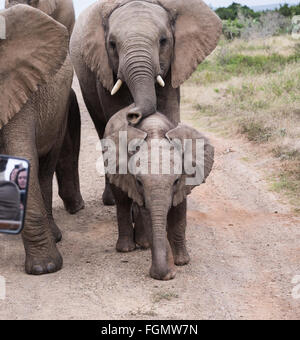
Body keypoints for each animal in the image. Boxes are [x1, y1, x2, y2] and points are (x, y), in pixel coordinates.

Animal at [69, 0, 220, 205]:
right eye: (112, 44)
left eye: (163, 41)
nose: (133, 114)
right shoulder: (104, 71)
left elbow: (169, 113)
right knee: (101, 129)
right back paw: (111, 200)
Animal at [104, 105, 214, 280]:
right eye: (139, 182)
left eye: (176, 181)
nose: (169, 273)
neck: (155, 132)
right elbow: (148, 216)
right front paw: (164, 275)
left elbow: (179, 212)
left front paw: (182, 262)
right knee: (122, 202)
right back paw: (126, 249)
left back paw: (144, 245)